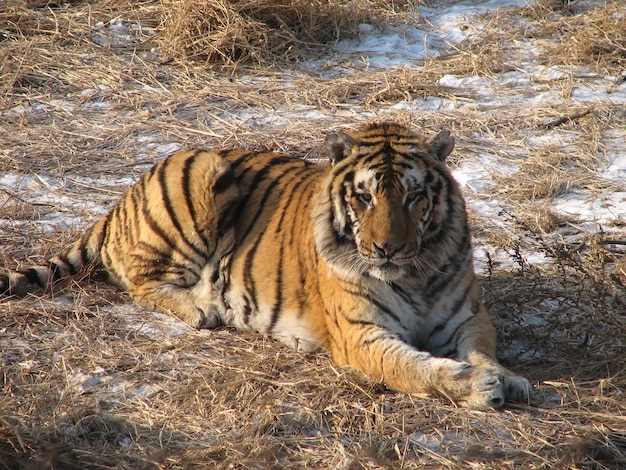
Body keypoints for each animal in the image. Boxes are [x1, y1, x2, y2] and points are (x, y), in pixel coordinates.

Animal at [1, 123, 532, 410]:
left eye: (413, 196)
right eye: (364, 197)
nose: (387, 250)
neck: (414, 272)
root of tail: (124, 196)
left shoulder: (467, 317)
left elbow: (483, 349)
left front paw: (507, 377)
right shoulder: (362, 334)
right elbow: (417, 368)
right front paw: (478, 386)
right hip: (203, 176)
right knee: (139, 277)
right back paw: (200, 308)